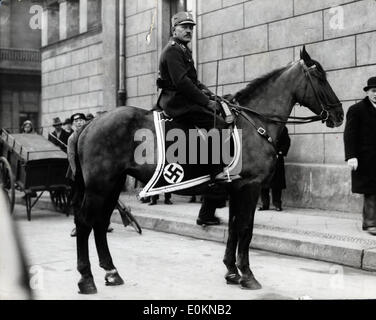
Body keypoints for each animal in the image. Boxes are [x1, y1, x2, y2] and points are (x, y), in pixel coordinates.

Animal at [72, 46, 344, 294]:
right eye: (320, 77)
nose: (339, 114)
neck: (253, 123)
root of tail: (90, 123)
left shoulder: (236, 188)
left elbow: (233, 228)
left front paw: (232, 272)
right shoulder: (250, 187)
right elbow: (245, 228)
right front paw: (247, 275)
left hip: (113, 184)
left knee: (100, 223)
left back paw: (111, 272)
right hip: (100, 186)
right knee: (85, 223)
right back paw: (86, 279)